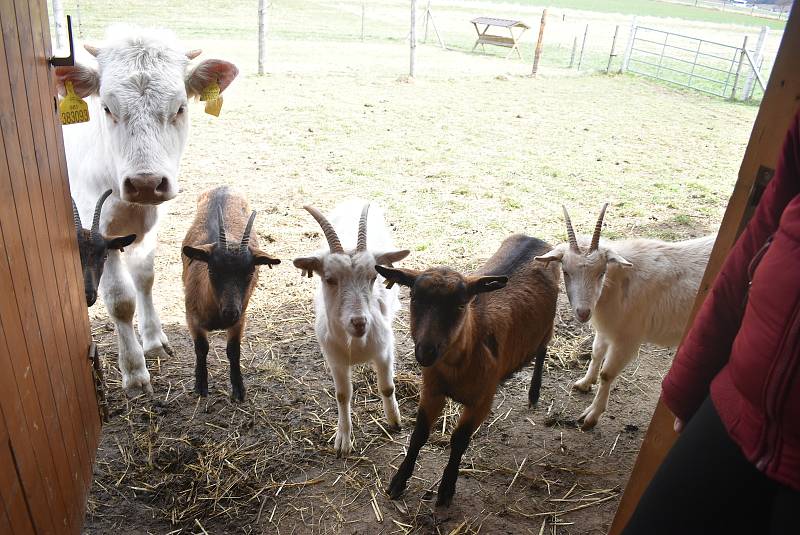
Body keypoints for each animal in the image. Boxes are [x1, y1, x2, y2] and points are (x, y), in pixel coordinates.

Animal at [182, 188, 280, 402]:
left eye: (250, 273)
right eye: (212, 270)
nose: (229, 312)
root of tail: (224, 188)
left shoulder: (240, 320)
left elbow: (234, 351)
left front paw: (239, 388)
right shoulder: (191, 318)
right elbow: (201, 348)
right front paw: (200, 385)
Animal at [292, 201, 410, 456]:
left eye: (373, 276)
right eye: (329, 279)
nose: (359, 322)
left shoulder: (384, 349)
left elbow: (387, 387)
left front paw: (394, 421)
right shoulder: (334, 359)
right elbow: (342, 395)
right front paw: (343, 440)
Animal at [376, 234, 560, 506]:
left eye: (461, 306)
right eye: (415, 299)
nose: (426, 351)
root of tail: (533, 238)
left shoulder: (481, 401)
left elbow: (459, 440)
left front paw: (446, 490)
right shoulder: (432, 391)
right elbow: (419, 434)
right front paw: (399, 481)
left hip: (547, 327)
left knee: (543, 349)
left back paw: (534, 393)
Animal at [536, 205, 712, 432]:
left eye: (602, 272)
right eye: (565, 271)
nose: (583, 312)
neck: (621, 281)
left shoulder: (627, 338)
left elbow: (607, 374)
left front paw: (591, 416)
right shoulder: (606, 329)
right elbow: (595, 354)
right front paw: (584, 383)